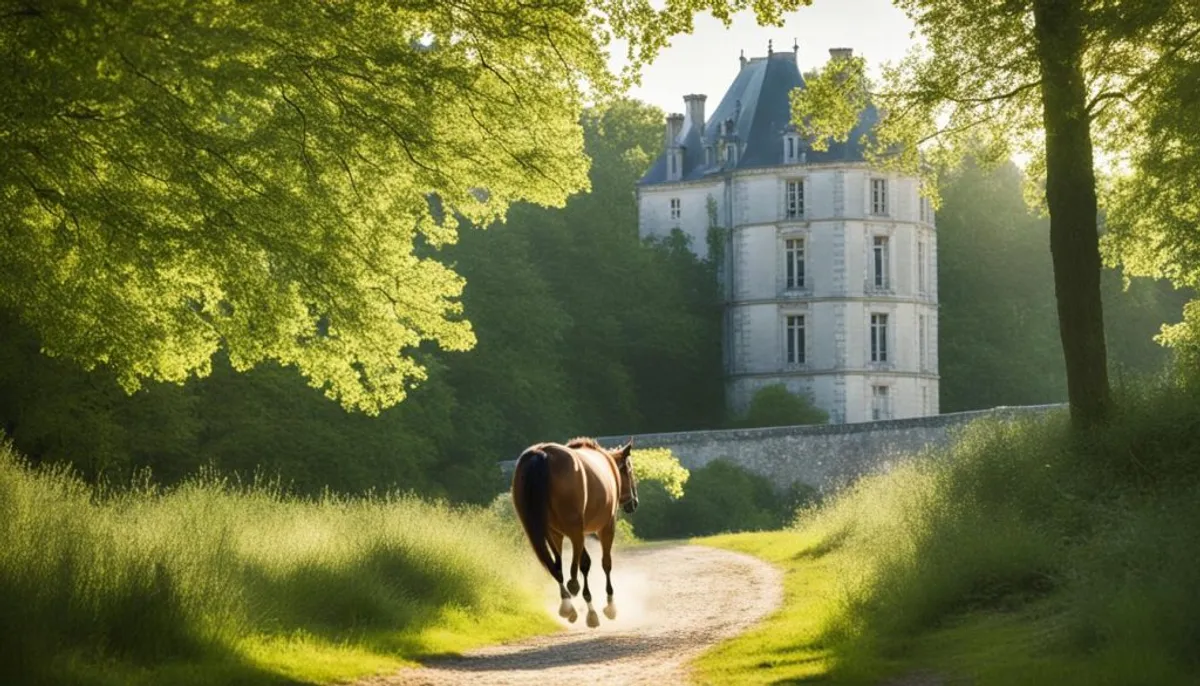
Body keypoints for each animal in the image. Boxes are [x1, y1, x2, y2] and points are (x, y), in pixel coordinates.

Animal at [508, 438, 638, 628]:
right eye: (629, 471)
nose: (634, 503)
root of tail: (542, 453)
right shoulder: (606, 527)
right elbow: (605, 563)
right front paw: (610, 605)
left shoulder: (574, 531)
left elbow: (583, 562)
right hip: (574, 527)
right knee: (574, 565)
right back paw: (577, 593)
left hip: (552, 531)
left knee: (557, 566)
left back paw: (568, 605)